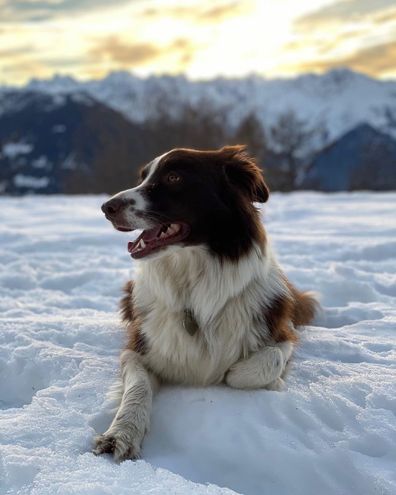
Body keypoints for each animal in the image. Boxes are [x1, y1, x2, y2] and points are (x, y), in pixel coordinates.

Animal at [92, 145, 316, 464]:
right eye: (143, 176)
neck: (194, 287)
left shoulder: (282, 332)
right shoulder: (138, 346)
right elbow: (137, 388)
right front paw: (121, 432)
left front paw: (268, 381)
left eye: (174, 177)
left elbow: (255, 366)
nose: (106, 207)